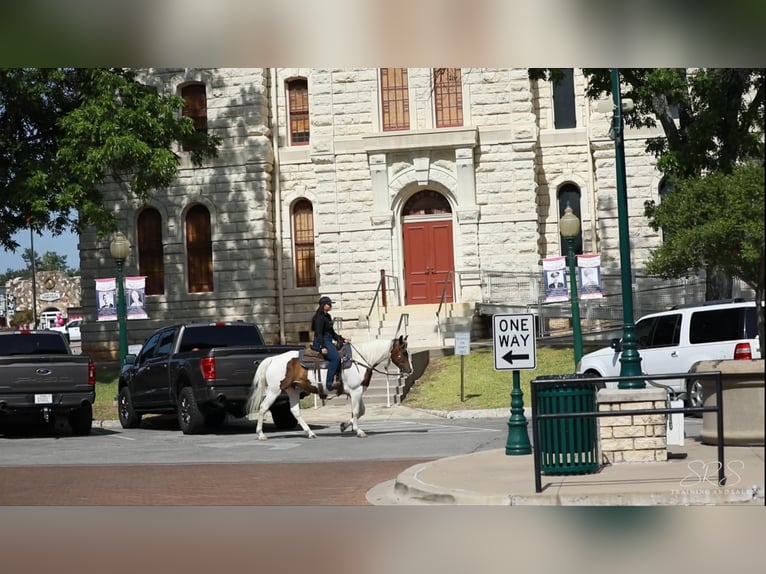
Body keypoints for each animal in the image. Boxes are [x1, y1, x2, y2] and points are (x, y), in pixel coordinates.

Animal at [246, 338, 414, 440]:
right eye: (403, 353)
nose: (409, 370)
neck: (360, 359)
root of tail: (273, 359)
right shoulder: (355, 391)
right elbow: (357, 411)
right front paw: (358, 431)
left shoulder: (358, 391)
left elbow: (361, 411)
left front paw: (345, 426)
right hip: (274, 390)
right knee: (263, 408)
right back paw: (260, 434)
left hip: (293, 390)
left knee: (294, 411)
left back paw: (310, 433)